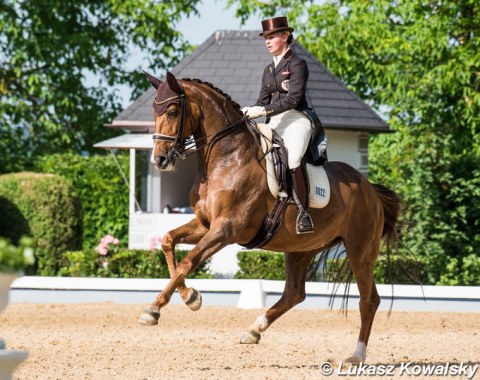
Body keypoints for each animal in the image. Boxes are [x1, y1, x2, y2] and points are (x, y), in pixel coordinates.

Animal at [139, 70, 402, 364]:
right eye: (154, 111)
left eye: (173, 111)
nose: (159, 160)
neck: (226, 157)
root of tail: (371, 190)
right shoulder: (205, 224)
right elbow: (168, 241)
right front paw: (190, 296)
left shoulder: (226, 229)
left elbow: (187, 261)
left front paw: (154, 309)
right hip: (301, 248)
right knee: (294, 293)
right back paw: (254, 330)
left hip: (359, 251)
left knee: (369, 300)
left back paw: (356, 355)